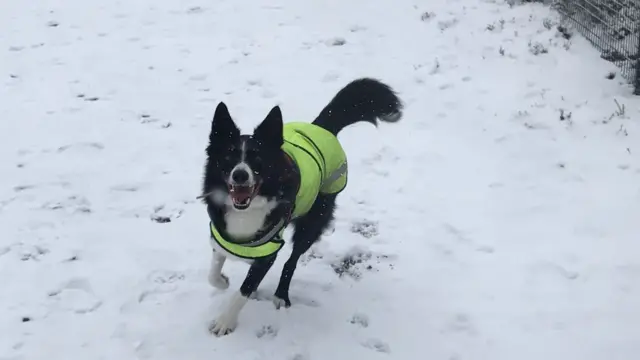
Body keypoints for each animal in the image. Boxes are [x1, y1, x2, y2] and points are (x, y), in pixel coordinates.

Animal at [200, 77, 402, 336]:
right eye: (228, 158)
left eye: (258, 160)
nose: (240, 175)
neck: (247, 209)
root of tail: (322, 128)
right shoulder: (221, 235)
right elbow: (214, 272)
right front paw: (223, 280)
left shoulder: (269, 249)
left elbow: (244, 290)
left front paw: (225, 321)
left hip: (312, 222)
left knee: (292, 260)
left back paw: (280, 295)